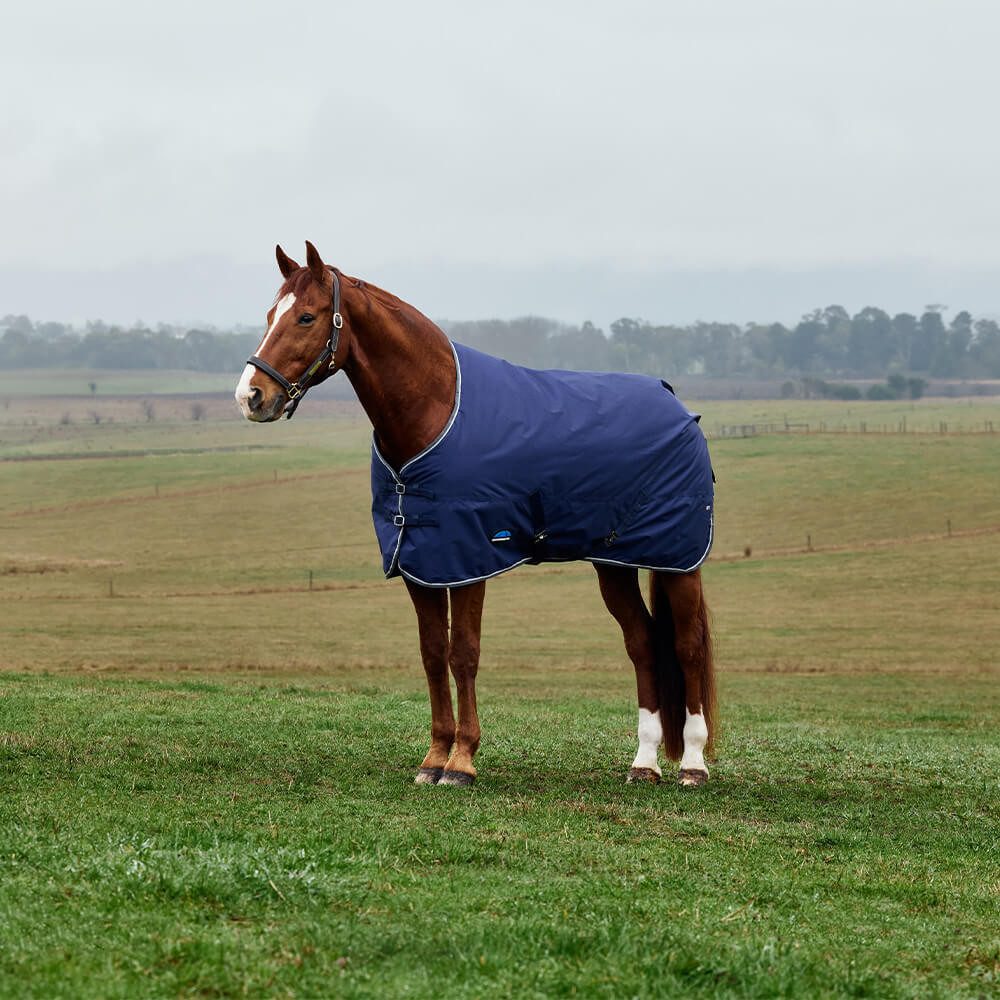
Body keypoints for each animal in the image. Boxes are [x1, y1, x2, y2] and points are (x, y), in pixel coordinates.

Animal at [235, 242, 717, 788]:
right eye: (270, 314)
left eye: (306, 316)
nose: (250, 396)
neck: (435, 410)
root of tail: (677, 406)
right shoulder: (419, 562)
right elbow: (431, 653)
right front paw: (433, 758)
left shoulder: (468, 559)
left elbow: (463, 652)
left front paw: (462, 761)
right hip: (614, 564)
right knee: (642, 644)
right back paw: (644, 762)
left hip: (678, 560)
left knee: (687, 646)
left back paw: (693, 765)